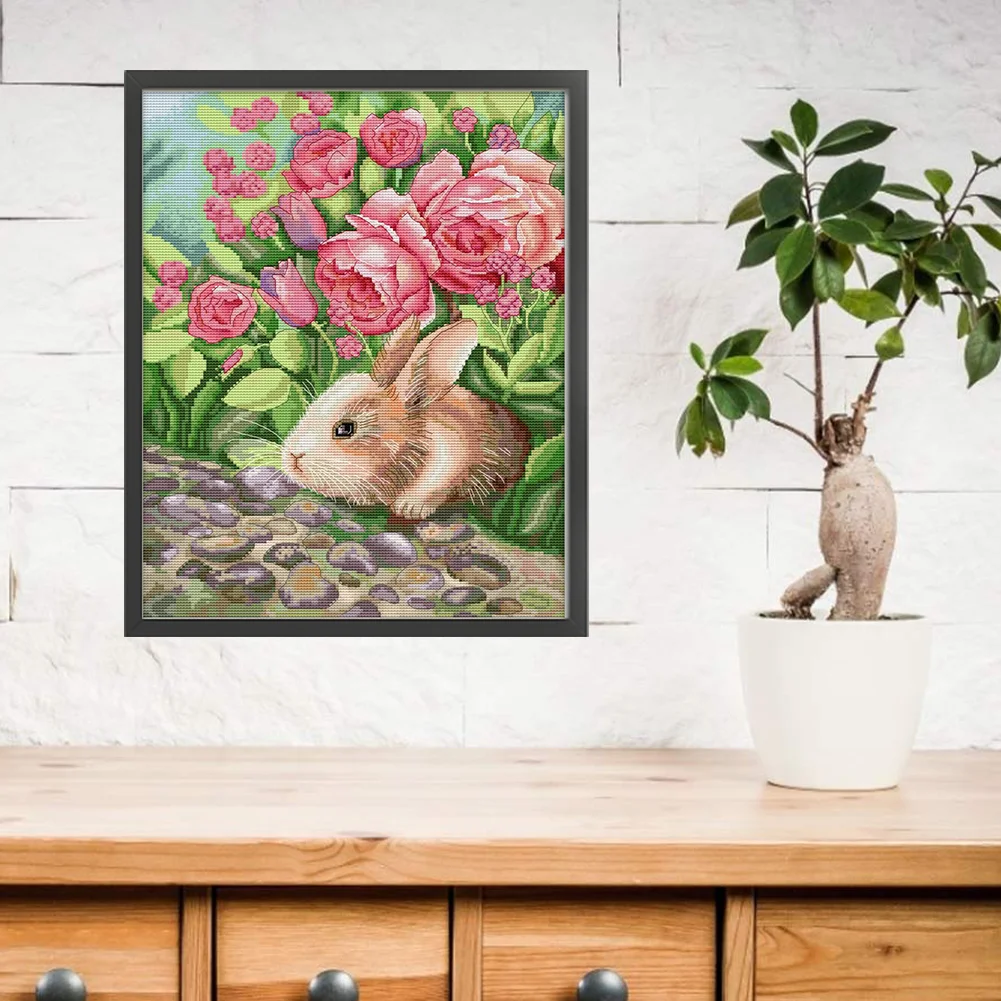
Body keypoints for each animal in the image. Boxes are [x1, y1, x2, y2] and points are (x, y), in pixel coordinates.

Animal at [281, 316, 531, 519]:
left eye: (345, 429)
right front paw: (361, 499)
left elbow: (434, 487)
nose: (293, 456)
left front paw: (409, 508)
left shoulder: (452, 459)